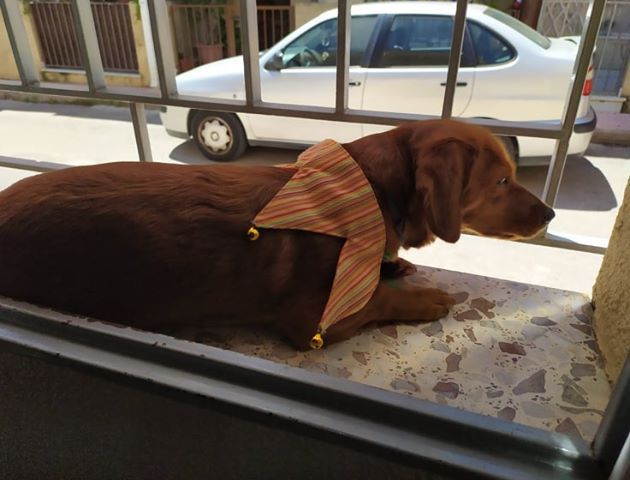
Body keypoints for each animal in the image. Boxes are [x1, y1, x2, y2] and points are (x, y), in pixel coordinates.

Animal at [0, 118, 552, 346]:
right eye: (502, 181)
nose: (550, 215)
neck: (369, 190)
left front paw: (394, 263)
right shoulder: (312, 320)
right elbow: (379, 299)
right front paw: (423, 297)